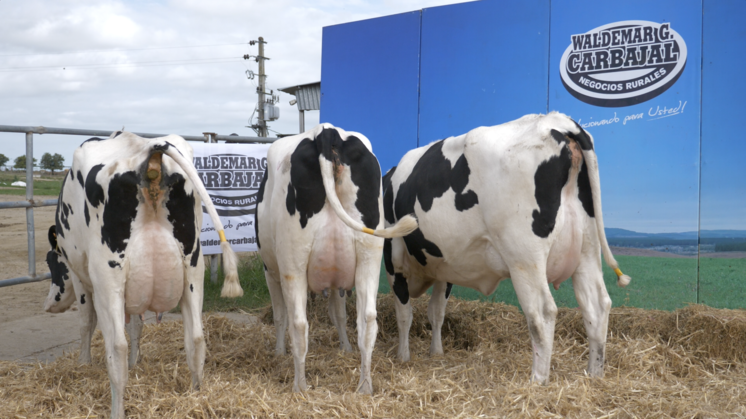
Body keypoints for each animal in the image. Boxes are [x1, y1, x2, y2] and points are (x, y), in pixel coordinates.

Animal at [43, 131, 243, 419]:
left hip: (108, 278)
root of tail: (149, 146)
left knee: (116, 347)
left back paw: (117, 410)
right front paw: (136, 362)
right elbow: (137, 324)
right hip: (193, 268)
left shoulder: (81, 279)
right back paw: (197, 397)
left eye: (51, 263)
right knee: (196, 338)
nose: (48, 305)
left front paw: (83, 363)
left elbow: (86, 323)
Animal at [254, 123, 417, 394]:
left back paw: (300, 387)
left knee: (298, 323)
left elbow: (280, 316)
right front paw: (345, 347)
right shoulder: (337, 277)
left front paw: (278, 352)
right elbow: (339, 313)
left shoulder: (270, 270)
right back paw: (365, 386)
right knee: (368, 320)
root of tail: (326, 130)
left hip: (292, 262)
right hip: (369, 258)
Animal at [382, 112, 631, 384]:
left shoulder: (393, 260)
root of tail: (555, 120)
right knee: (597, 306)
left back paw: (538, 380)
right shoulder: (444, 267)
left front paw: (403, 357)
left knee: (542, 313)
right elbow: (436, 312)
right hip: (586, 250)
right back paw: (594, 375)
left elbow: (404, 314)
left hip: (524, 257)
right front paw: (436, 352)